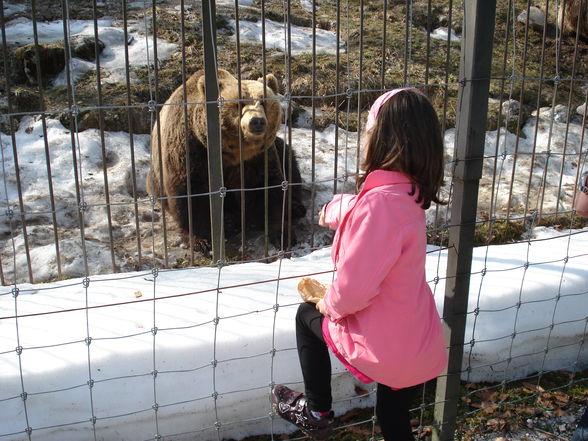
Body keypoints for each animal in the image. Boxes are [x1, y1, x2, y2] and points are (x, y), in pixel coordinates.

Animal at [147, 70, 306, 253]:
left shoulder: (258, 157)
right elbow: (191, 193)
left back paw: (295, 207)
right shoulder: (192, 151)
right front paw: (202, 240)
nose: (257, 121)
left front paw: (283, 235)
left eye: (263, 102)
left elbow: (267, 189)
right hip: (155, 181)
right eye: (239, 104)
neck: (232, 152)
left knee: (290, 163)